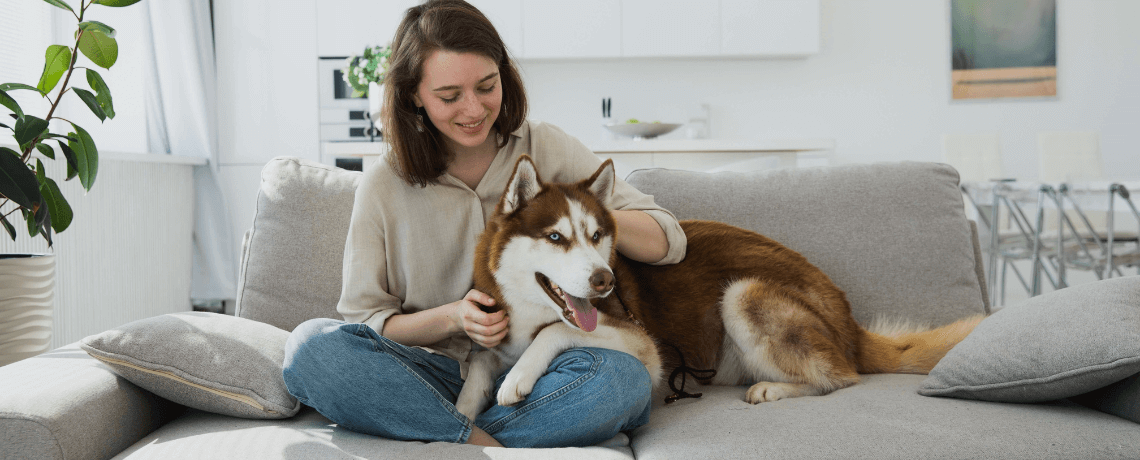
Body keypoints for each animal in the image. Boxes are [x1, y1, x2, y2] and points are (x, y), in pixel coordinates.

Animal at [456, 155, 989, 421]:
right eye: (555, 237)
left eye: (596, 235)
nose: (604, 279)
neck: (529, 307)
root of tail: (850, 321)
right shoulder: (494, 333)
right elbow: (479, 363)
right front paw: (461, 411)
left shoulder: (643, 345)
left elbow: (554, 333)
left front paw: (518, 378)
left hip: (743, 294)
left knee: (842, 377)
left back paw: (774, 388)